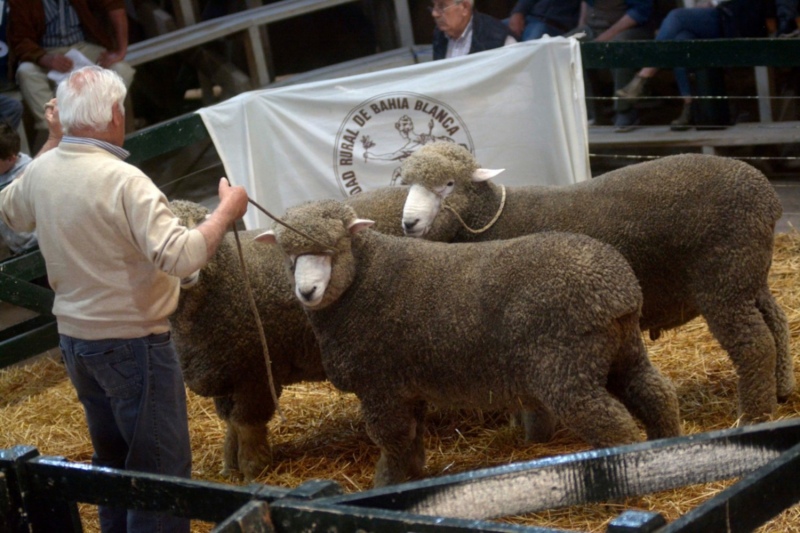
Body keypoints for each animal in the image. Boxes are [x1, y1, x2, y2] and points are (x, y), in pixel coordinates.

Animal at [258, 198, 680, 486]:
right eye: (287, 253)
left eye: (334, 248)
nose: (306, 292)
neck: (365, 279)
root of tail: (618, 288)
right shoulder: (406, 386)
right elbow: (411, 440)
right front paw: (413, 477)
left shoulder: (380, 386)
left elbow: (392, 442)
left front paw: (385, 486)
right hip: (621, 349)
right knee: (655, 392)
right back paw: (669, 450)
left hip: (565, 364)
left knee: (610, 421)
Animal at [404, 142, 792, 424]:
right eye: (409, 185)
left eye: (448, 184)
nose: (408, 223)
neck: (491, 218)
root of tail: (767, 196)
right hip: (748, 275)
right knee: (777, 322)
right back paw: (783, 389)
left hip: (724, 278)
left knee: (755, 343)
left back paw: (754, 414)